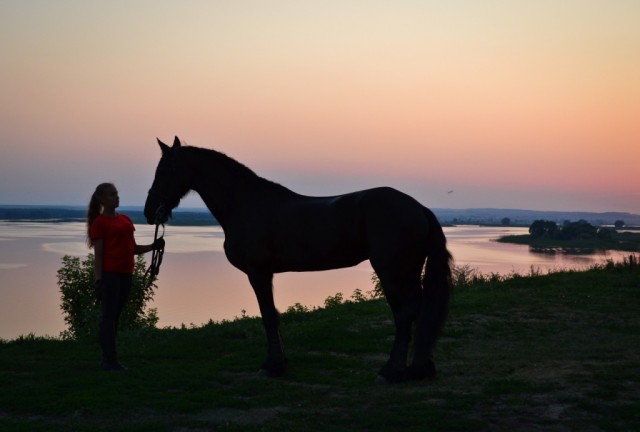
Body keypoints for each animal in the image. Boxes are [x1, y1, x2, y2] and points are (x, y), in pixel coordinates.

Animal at [146, 137, 456, 384]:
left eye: (165, 169)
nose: (150, 211)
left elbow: (268, 316)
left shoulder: (258, 272)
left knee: (405, 314)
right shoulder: (266, 274)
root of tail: (419, 208)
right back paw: (420, 368)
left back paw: (391, 371)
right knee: (420, 312)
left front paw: (271, 367)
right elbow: (273, 316)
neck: (245, 204)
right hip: (409, 272)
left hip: (392, 273)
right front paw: (280, 364)